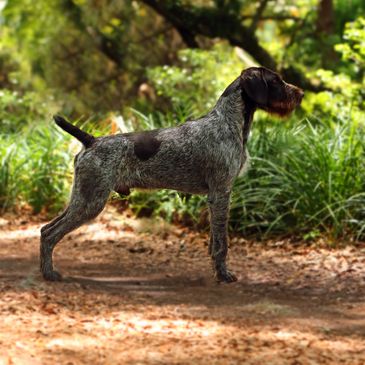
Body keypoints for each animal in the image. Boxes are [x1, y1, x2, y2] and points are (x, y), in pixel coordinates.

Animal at [39, 66, 302, 282]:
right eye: (276, 81)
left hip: (82, 197)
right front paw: (224, 275)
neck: (228, 123)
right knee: (50, 233)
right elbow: (222, 243)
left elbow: (213, 240)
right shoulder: (221, 192)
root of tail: (91, 140)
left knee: (45, 229)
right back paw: (49, 274)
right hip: (91, 201)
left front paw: (216, 270)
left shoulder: (215, 197)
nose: (300, 94)